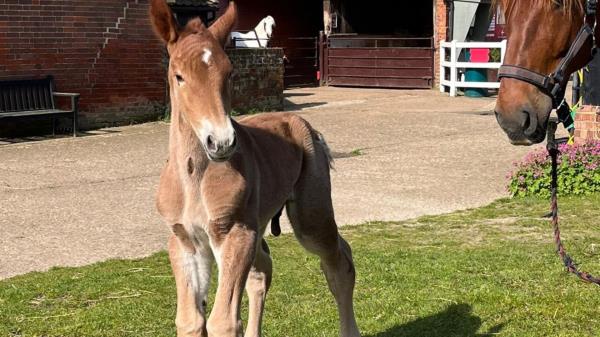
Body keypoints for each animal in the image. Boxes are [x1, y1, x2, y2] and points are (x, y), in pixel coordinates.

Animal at [150, 1, 360, 336]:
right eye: (179, 76)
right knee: (262, 272)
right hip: (260, 223)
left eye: (229, 72)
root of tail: (304, 125)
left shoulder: (235, 233)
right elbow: (190, 320)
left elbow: (222, 320)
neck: (194, 179)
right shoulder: (185, 240)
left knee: (339, 263)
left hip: (309, 218)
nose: (221, 141)